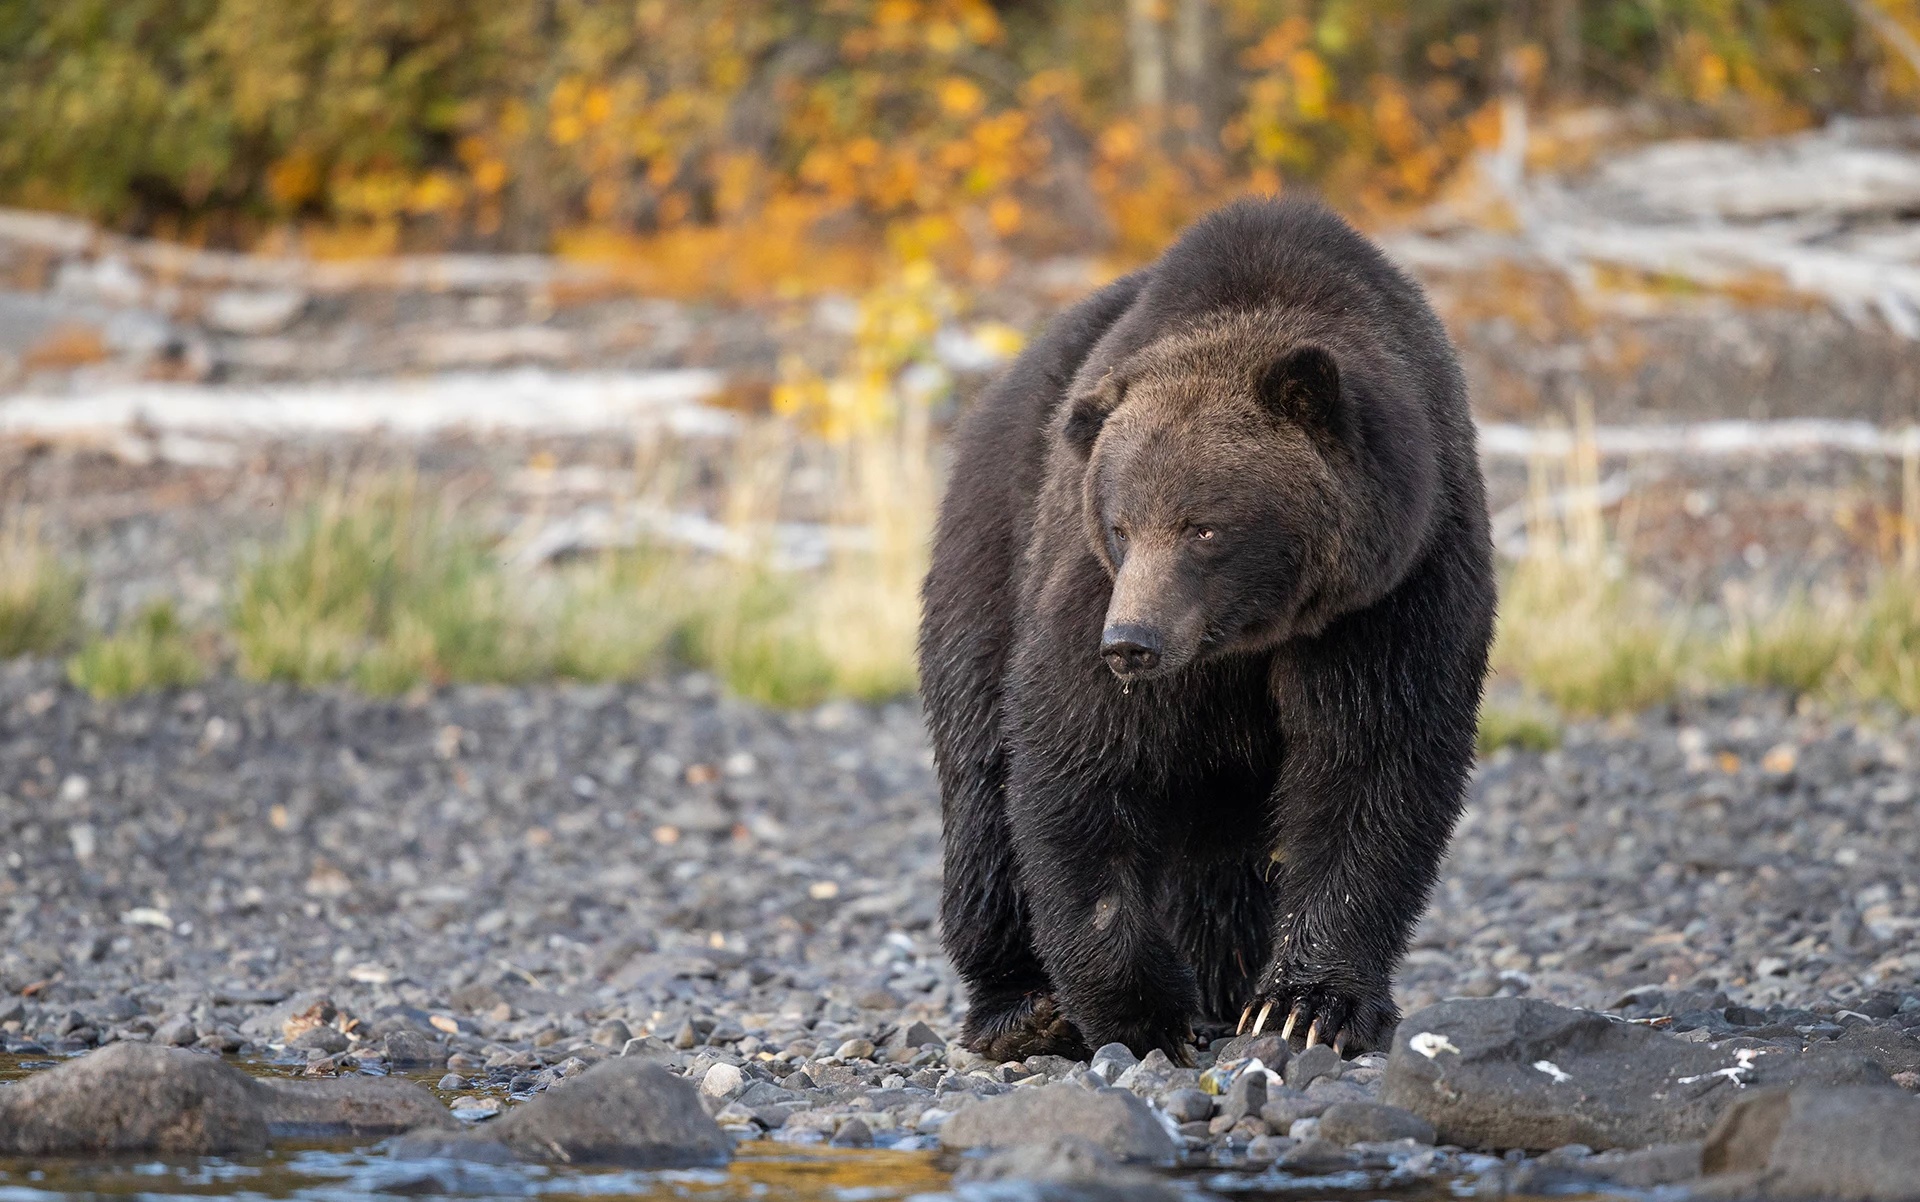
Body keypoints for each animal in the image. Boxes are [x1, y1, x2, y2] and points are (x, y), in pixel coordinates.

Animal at [921, 193, 1489, 1059]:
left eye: (1205, 526)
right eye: (1121, 525)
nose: (1132, 643)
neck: (1250, 630)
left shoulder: (1394, 594)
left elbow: (1373, 764)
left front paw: (1306, 1005)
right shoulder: (1090, 593)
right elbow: (1084, 765)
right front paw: (1142, 1008)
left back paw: (1225, 978)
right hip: (990, 549)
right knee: (983, 774)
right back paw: (1021, 1006)